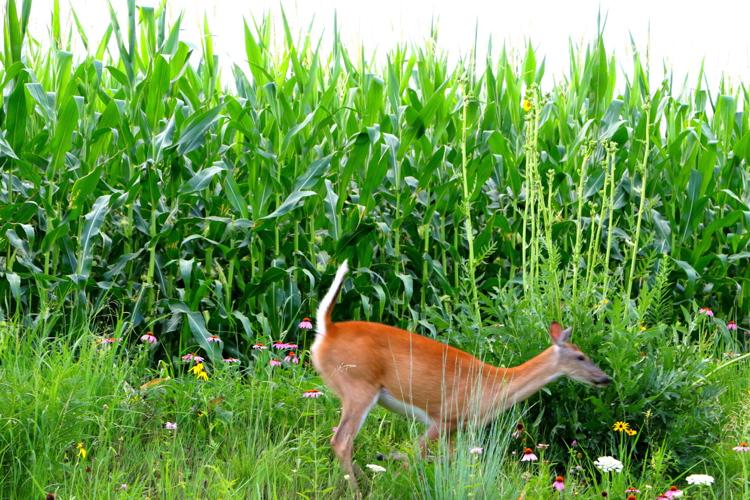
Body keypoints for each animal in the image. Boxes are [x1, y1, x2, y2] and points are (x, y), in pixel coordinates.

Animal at [311, 261, 611, 491]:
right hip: (358, 385)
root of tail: (327, 330)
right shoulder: (445, 417)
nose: (605, 378)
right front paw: (398, 472)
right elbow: (416, 453)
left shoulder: (458, 429)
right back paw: (359, 489)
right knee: (341, 441)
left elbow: (452, 460)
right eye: (581, 357)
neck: (494, 385)